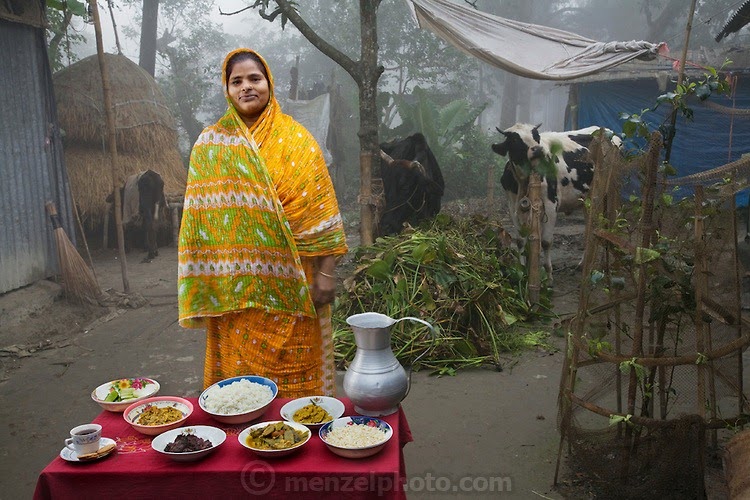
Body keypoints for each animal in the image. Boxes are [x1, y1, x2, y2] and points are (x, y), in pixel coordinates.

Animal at [494, 123, 624, 280]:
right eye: (514, 140)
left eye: (536, 136)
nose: (538, 149)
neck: (523, 181)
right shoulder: (513, 205)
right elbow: (520, 240)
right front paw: (522, 271)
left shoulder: (551, 204)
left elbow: (545, 242)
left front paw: (549, 274)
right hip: (588, 199)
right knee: (590, 227)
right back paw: (583, 264)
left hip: (612, 189)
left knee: (612, 221)